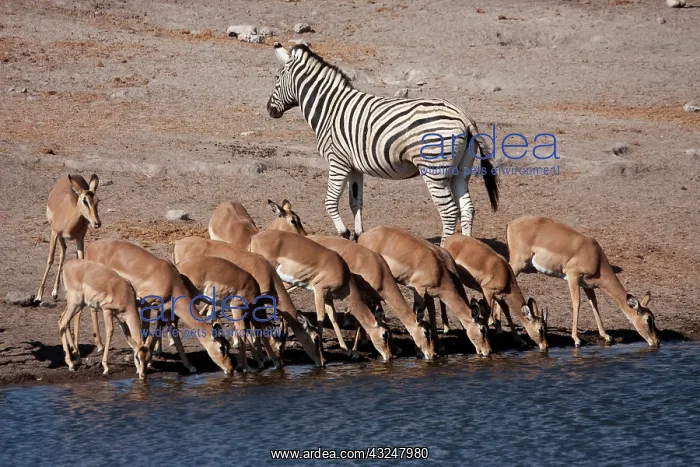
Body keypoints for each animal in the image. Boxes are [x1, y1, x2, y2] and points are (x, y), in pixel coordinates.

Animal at [266, 42, 499, 245]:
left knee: (449, 212)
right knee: (467, 209)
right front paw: (358, 236)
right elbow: (355, 202)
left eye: (277, 78)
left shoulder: (338, 161)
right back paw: (464, 247)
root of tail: (463, 116)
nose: (269, 110)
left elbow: (330, 201)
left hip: (434, 170)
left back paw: (446, 248)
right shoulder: (354, 166)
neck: (329, 108)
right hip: (460, 171)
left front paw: (344, 232)